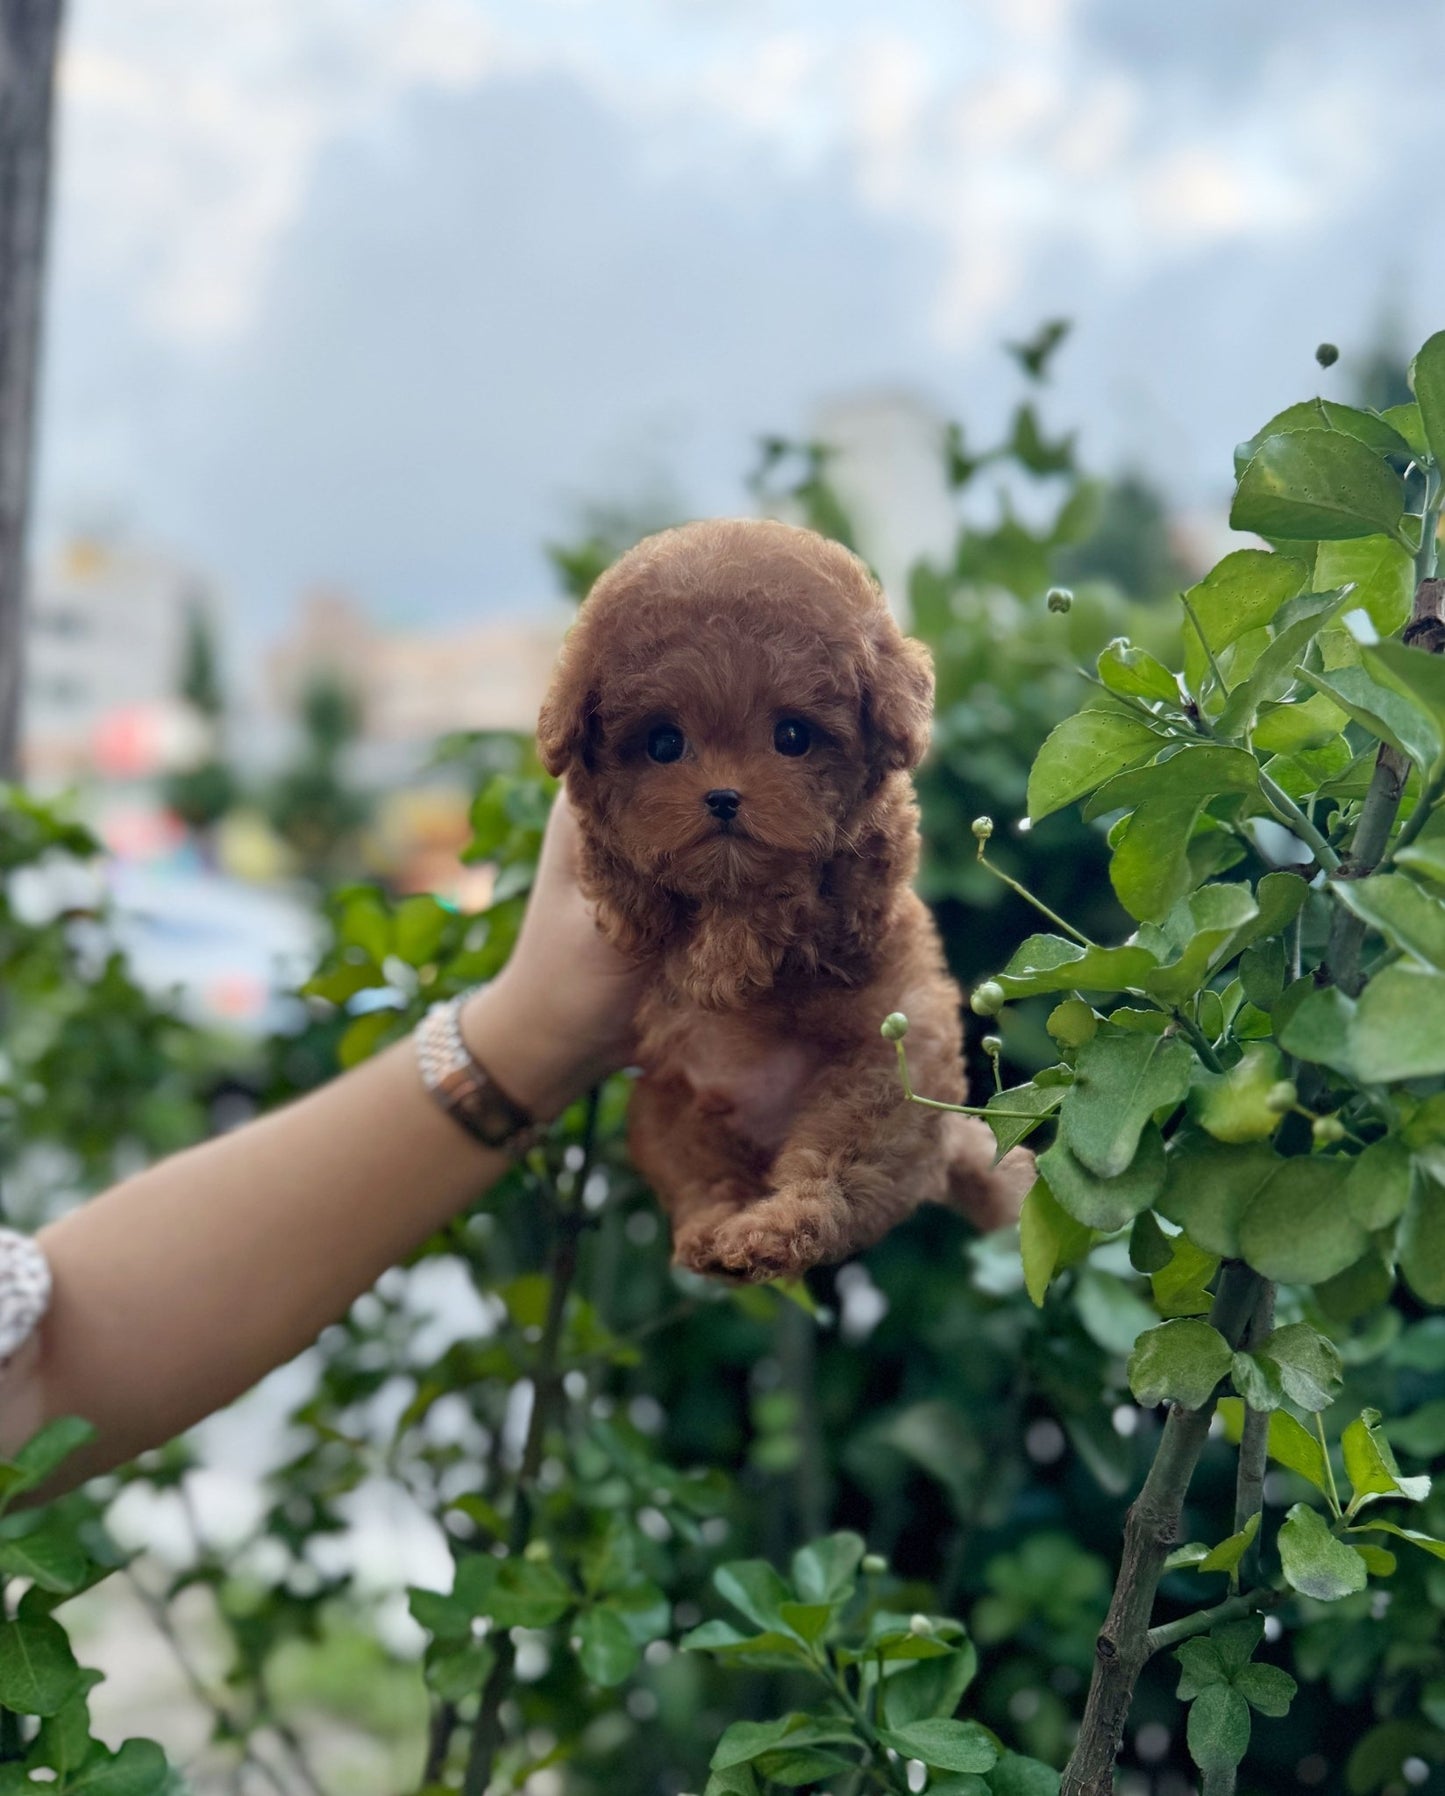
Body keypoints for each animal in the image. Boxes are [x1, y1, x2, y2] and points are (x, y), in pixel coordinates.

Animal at [538, 513, 1026, 1285]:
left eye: (792, 736)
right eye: (663, 743)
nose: (723, 797)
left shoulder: (869, 867)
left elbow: (806, 888)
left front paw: (733, 947)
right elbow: (622, 869)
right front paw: (669, 923)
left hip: (881, 1083)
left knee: (838, 1180)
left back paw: (772, 1230)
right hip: (673, 1109)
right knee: (702, 1183)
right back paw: (714, 1236)